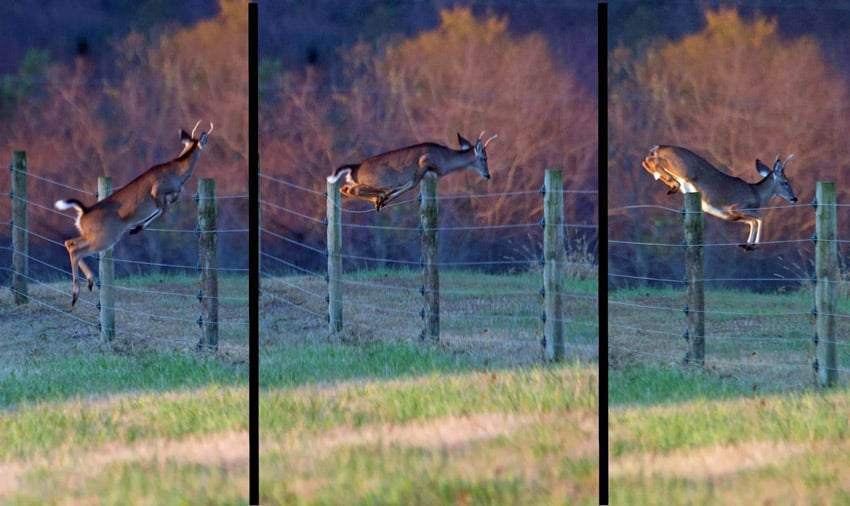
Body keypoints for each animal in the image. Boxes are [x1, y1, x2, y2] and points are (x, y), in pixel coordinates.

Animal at [54, 120, 214, 306]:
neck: (178, 174)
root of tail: (83, 212)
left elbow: (165, 207)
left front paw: (136, 228)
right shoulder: (157, 191)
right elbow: (164, 209)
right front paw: (136, 228)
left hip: (92, 235)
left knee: (69, 242)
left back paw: (89, 283)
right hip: (106, 236)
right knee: (76, 250)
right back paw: (76, 294)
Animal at [326, 131, 496, 211]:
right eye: (484, 158)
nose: (488, 175)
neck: (445, 160)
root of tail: (355, 167)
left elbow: (409, 185)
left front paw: (383, 199)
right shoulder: (424, 162)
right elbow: (410, 184)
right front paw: (384, 198)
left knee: (345, 188)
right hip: (374, 180)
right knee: (350, 189)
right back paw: (379, 198)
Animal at [644, 145, 796, 250]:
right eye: (786, 182)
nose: (794, 198)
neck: (755, 193)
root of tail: (658, 147)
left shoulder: (734, 216)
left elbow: (752, 222)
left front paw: (747, 245)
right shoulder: (735, 207)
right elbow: (760, 218)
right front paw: (754, 246)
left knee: (646, 162)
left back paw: (671, 183)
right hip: (683, 168)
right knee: (651, 161)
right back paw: (674, 184)